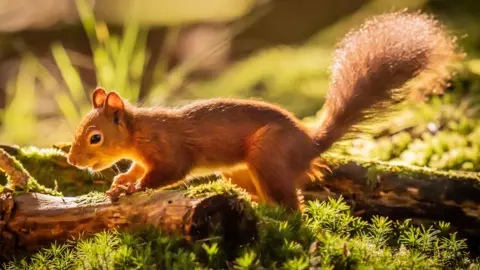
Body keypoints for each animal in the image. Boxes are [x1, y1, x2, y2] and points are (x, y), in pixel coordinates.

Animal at [66, 11, 458, 211]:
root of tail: (310, 145)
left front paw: (133, 188)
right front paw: (120, 182)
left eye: (95, 137)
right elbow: (135, 168)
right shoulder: (143, 156)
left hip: (267, 153)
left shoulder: (170, 150)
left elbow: (170, 172)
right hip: (239, 171)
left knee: (291, 206)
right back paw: (255, 204)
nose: (72, 160)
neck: (140, 131)